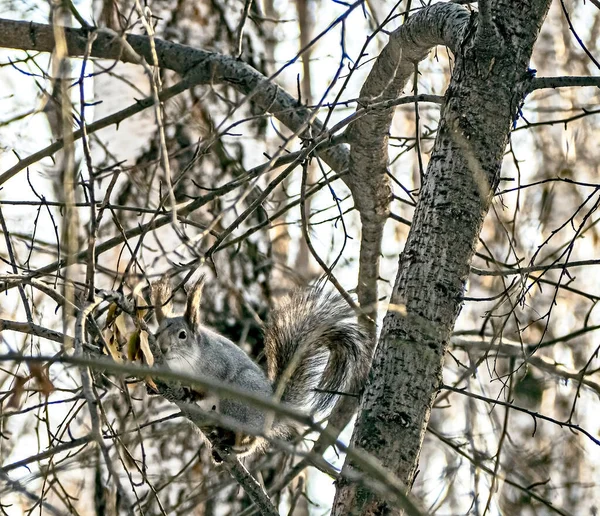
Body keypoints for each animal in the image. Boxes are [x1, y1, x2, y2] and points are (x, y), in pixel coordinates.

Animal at [150, 276, 370, 458]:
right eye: (156, 332)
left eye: (182, 335)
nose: (163, 348)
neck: (183, 365)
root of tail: (271, 414)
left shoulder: (218, 366)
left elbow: (210, 387)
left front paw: (193, 394)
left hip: (237, 399)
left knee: (250, 438)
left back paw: (235, 445)